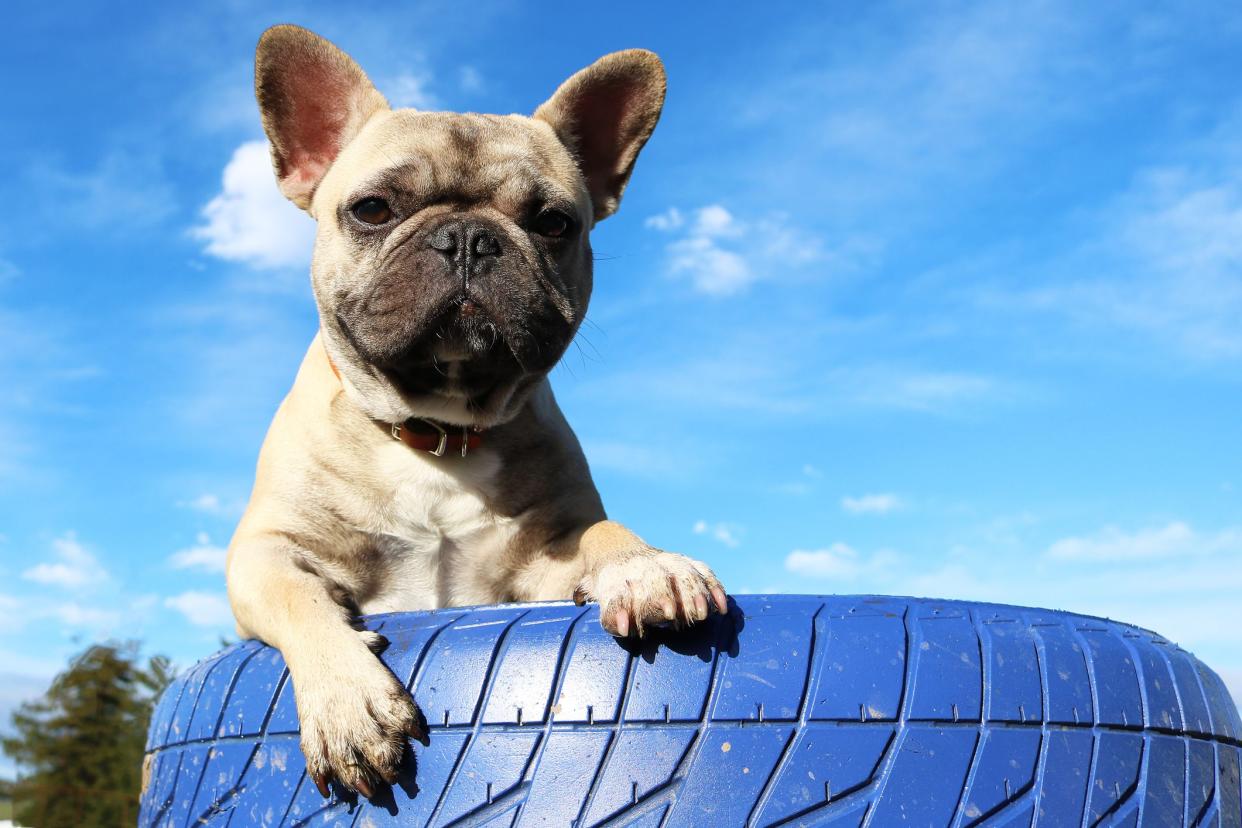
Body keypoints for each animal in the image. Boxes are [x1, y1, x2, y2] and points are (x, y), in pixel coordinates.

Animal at [228, 25, 725, 799]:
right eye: (373, 209)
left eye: (552, 223)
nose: (468, 238)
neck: (435, 432)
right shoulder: (263, 552)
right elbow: (297, 599)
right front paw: (347, 701)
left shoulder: (541, 561)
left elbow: (604, 531)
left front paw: (647, 567)